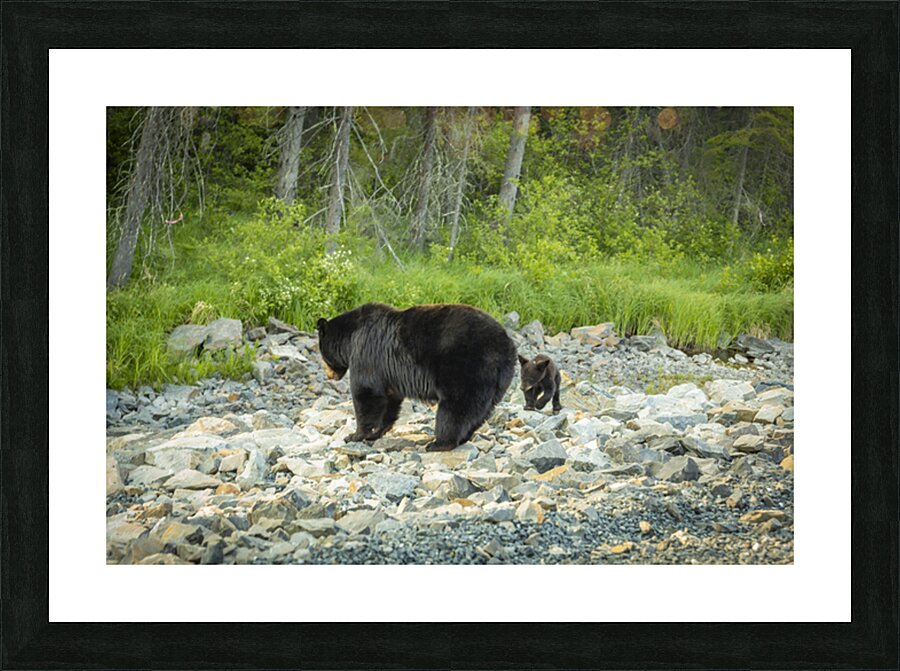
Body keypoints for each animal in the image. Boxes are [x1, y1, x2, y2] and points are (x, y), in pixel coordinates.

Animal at [316, 302, 517, 452]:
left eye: (322, 354)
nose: (329, 375)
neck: (350, 337)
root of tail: (506, 346)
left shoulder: (366, 353)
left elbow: (366, 393)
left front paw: (354, 435)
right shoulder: (388, 374)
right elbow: (389, 400)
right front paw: (377, 431)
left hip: (466, 367)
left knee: (456, 407)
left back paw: (440, 443)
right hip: (496, 383)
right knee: (480, 411)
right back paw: (462, 438)